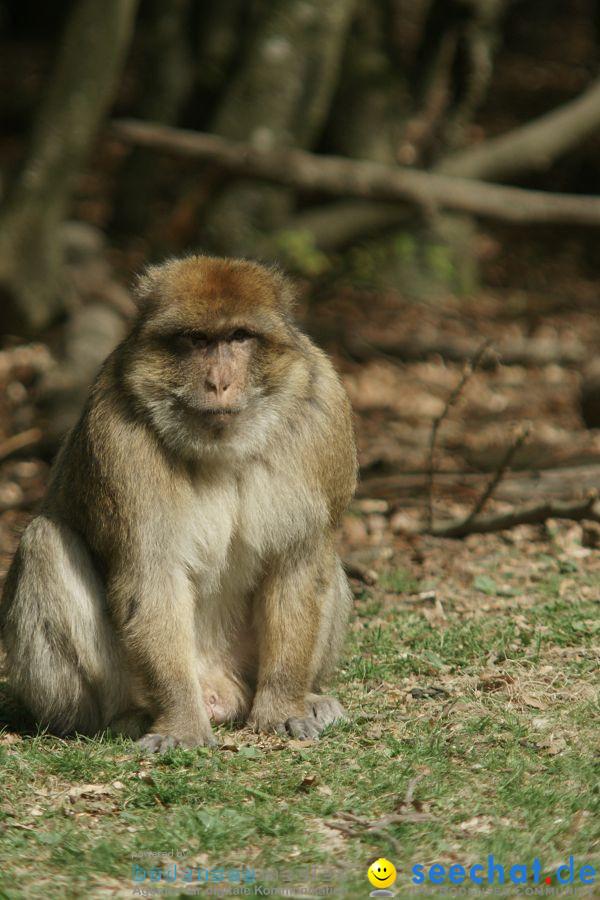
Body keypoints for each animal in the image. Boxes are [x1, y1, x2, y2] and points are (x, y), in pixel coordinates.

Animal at [0, 255, 356, 752]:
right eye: (196, 340)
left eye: (238, 337)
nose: (219, 382)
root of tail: (220, 689)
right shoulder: (118, 433)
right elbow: (151, 577)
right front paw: (181, 724)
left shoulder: (322, 414)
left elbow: (298, 563)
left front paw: (284, 707)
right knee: (44, 543)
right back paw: (125, 717)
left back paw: (312, 696)